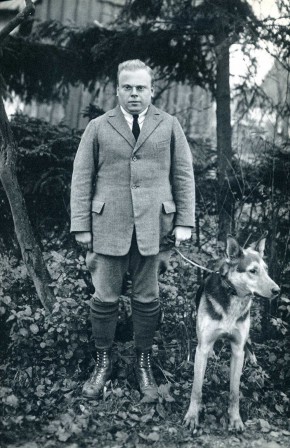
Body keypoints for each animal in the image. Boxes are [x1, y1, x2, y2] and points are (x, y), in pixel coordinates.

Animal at [184, 236, 280, 432]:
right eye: (253, 271)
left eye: (266, 270)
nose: (277, 290)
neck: (234, 296)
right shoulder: (201, 348)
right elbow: (196, 389)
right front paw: (192, 416)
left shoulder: (237, 349)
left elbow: (234, 392)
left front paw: (235, 419)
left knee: (249, 344)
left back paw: (253, 360)